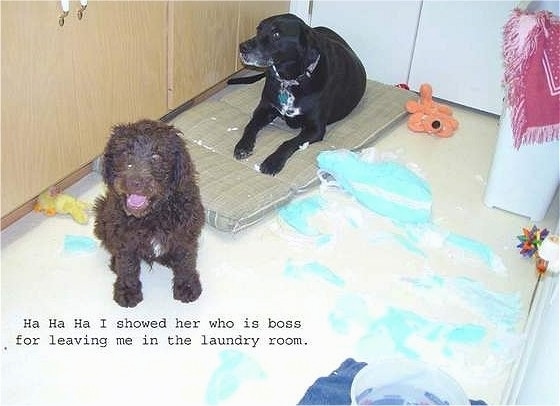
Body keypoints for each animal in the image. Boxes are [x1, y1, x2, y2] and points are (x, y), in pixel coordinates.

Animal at [93, 119, 203, 308]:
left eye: (156, 156)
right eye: (126, 153)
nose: (135, 182)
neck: (153, 215)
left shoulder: (185, 235)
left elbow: (186, 262)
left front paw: (187, 287)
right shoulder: (124, 239)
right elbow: (128, 267)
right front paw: (127, 291)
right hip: (102, 217)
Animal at [233, 13, 368, 175]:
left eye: (276, 34)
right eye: (258, 29)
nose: (242, 47)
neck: (289, 80)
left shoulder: (315, 129)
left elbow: (288, 142)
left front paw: (272, 162)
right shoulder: (264, 109)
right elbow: (250, 125)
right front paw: (243, 145)